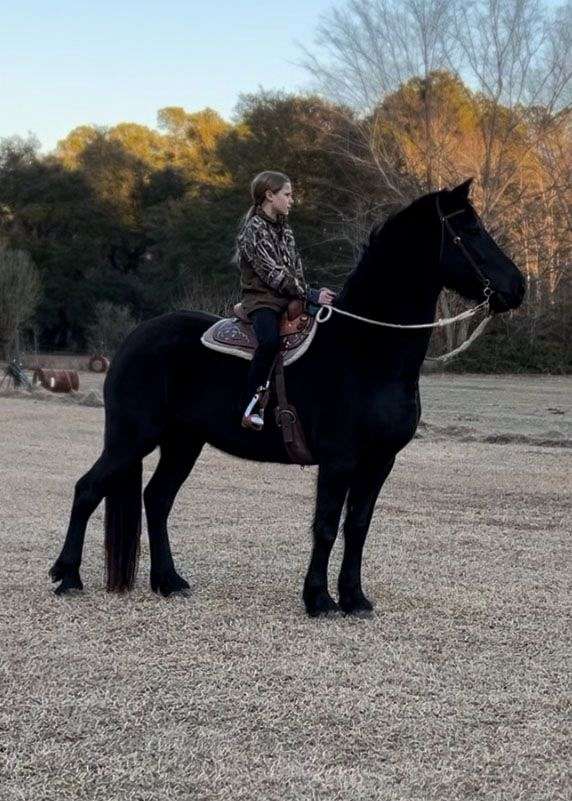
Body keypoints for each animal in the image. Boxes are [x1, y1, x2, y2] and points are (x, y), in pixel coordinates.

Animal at [51, 181, 524, 616]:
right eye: (470, 229)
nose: (518, 286)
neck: (365, 349)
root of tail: (133, 340)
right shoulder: (339, 460)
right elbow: (326, 526)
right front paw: (319, 600)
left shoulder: (379, 461)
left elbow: (358, 526)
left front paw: (355, 598)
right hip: (132, 437)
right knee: (88, 489)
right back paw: (67, 576)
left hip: (182, 442)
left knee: (157, 499)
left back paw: (169, 581)